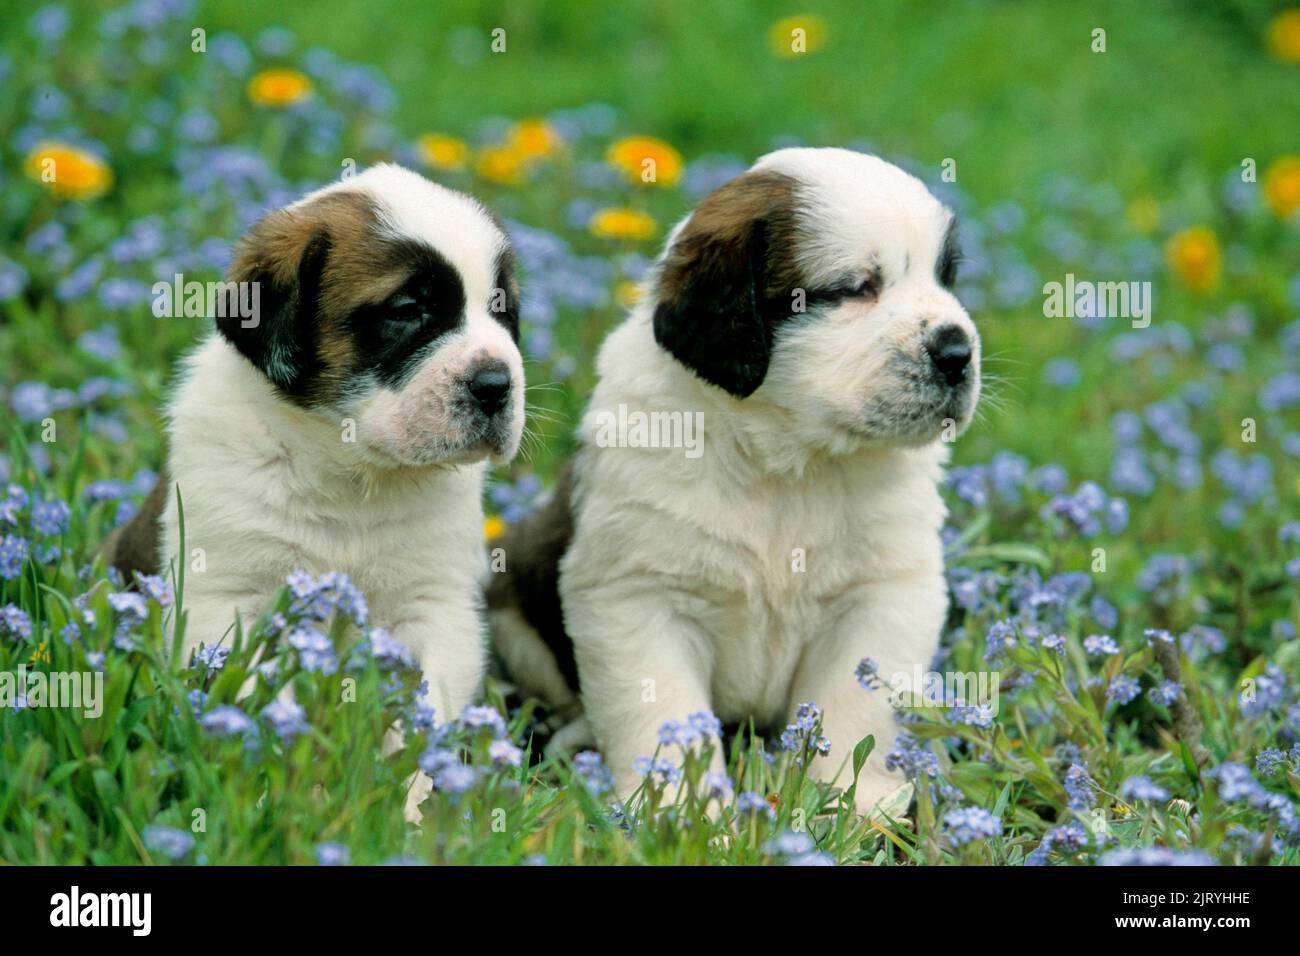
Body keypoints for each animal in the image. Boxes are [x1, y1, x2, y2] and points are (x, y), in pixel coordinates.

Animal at [105, 164, 522, 723]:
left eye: (503, 311)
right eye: (408, 309)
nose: (497, 385)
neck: (346, 470)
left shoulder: (434, 606)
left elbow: (422, 708)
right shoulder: (225, 595)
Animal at [491, 145, 977, 811]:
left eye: (946, 278)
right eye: (856, 289)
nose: (959, 353)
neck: (788, 462)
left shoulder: (885, 593)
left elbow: (856, 708)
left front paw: (853, 804)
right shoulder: (637, 596)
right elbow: (664, 712)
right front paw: (677, 805)